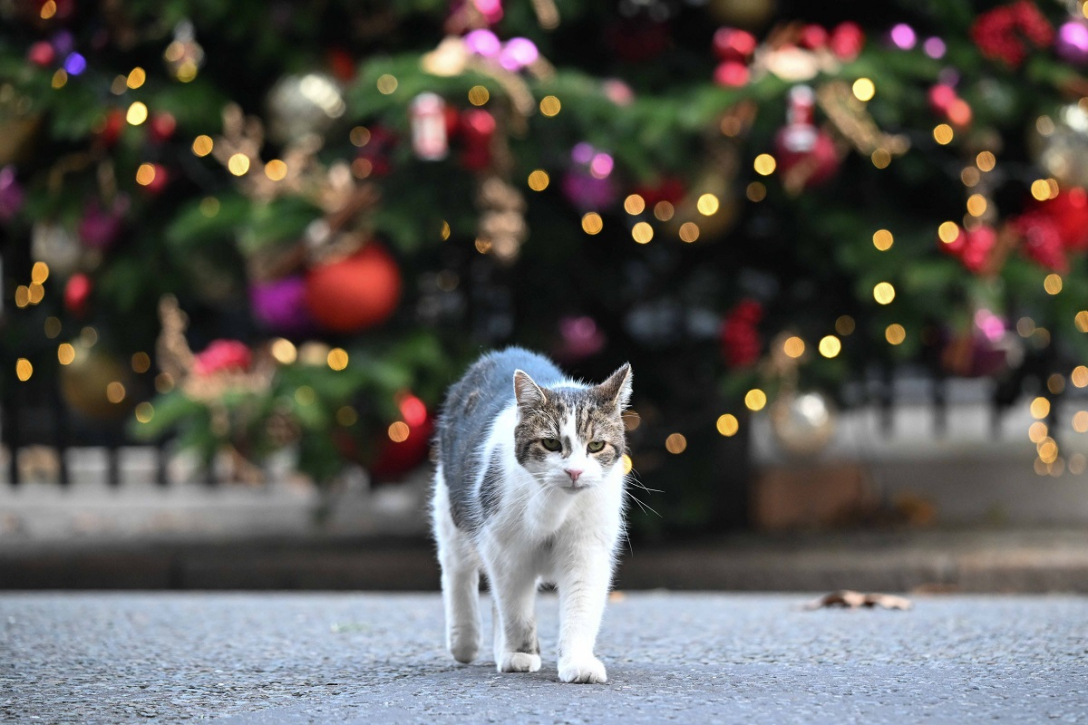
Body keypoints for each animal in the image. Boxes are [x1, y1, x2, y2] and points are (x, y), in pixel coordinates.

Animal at [426, 348, 631, 679]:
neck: (555, 507)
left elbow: (581, 606)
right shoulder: (506, 551)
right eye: (551, 443)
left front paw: (577, 662)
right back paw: (465, 640)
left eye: (596, 445)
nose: (574, 472)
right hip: (450, 508)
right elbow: (516, 610)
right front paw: (519, 654)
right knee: (457, 570)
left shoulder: (587, 550)